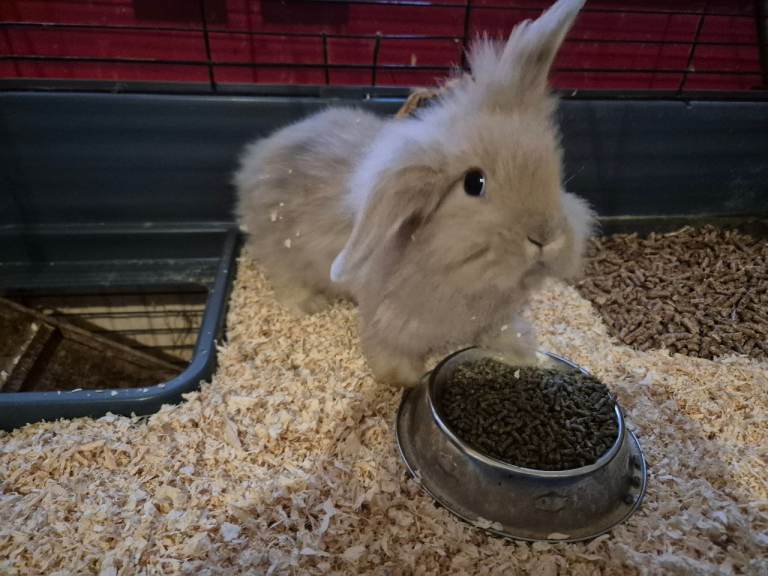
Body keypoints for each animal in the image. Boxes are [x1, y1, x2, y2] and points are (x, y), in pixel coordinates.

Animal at [234, 0, 594, 386]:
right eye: (474, 183)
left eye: (556, 171)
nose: (545, 237)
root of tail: (258, 154)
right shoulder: (390, 322)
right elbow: (390, 355)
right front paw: (406, 379)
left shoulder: (490, 317)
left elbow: (496, 332)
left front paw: (523, 349)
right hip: (280, 250)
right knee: (285, 276)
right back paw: (310, 304)